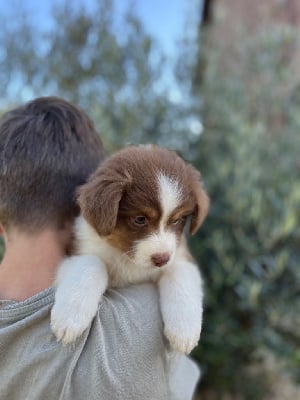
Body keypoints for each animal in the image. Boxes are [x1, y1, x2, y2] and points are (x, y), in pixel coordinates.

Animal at [51, 145, 209, 354]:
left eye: (177, 220)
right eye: (140, 219)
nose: (161, 259)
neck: (128, 258)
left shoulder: (179, 254)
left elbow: (180, 275)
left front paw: (184, 331)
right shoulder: (77, 251)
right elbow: (92, 263)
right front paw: (69, 318)